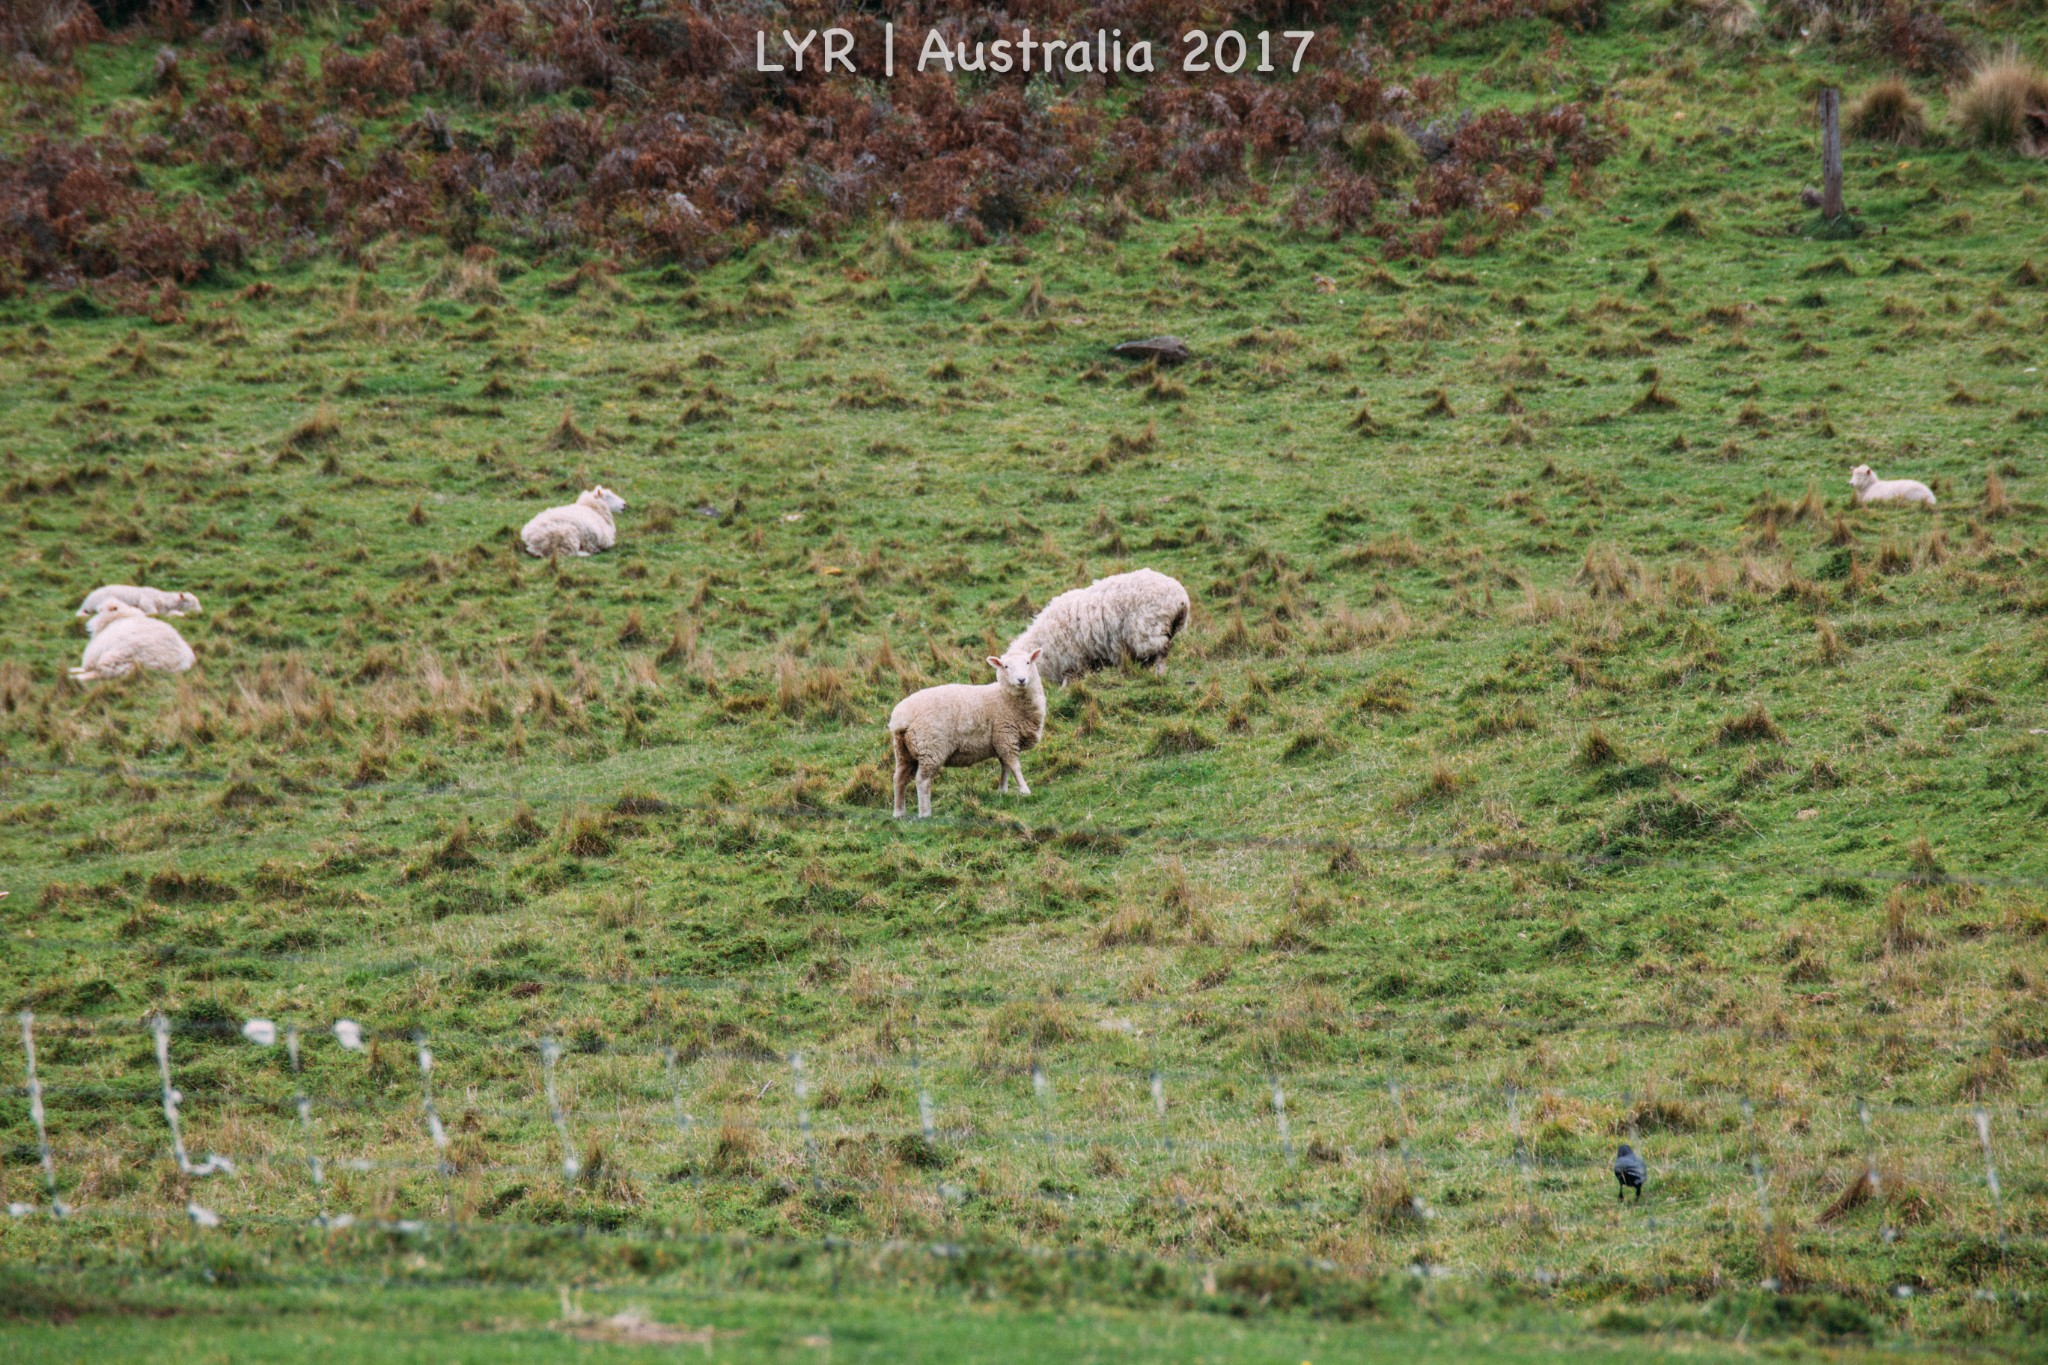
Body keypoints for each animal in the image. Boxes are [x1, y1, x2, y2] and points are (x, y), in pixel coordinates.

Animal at [884, 646, 1040, 818]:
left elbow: (1005, 767)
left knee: (899, 779)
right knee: (922, 780)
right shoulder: (1006, 736)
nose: (1021, 680)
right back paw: (925, 813)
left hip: (903, 751)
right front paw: (1024, 790)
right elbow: (1014, 766)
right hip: (930, 747)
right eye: (1006, 666)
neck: (1004, 697)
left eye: (1028, 662)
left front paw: (1002, 790)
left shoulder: (1001, 740)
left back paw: (899, 813)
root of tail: (901, 718)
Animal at [1003, 568, 1196, 687]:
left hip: (1148, 631)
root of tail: (1181, 600)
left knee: (1160, 655)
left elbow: (1069, 677)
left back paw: (1158, 675)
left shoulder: (1072, 659)